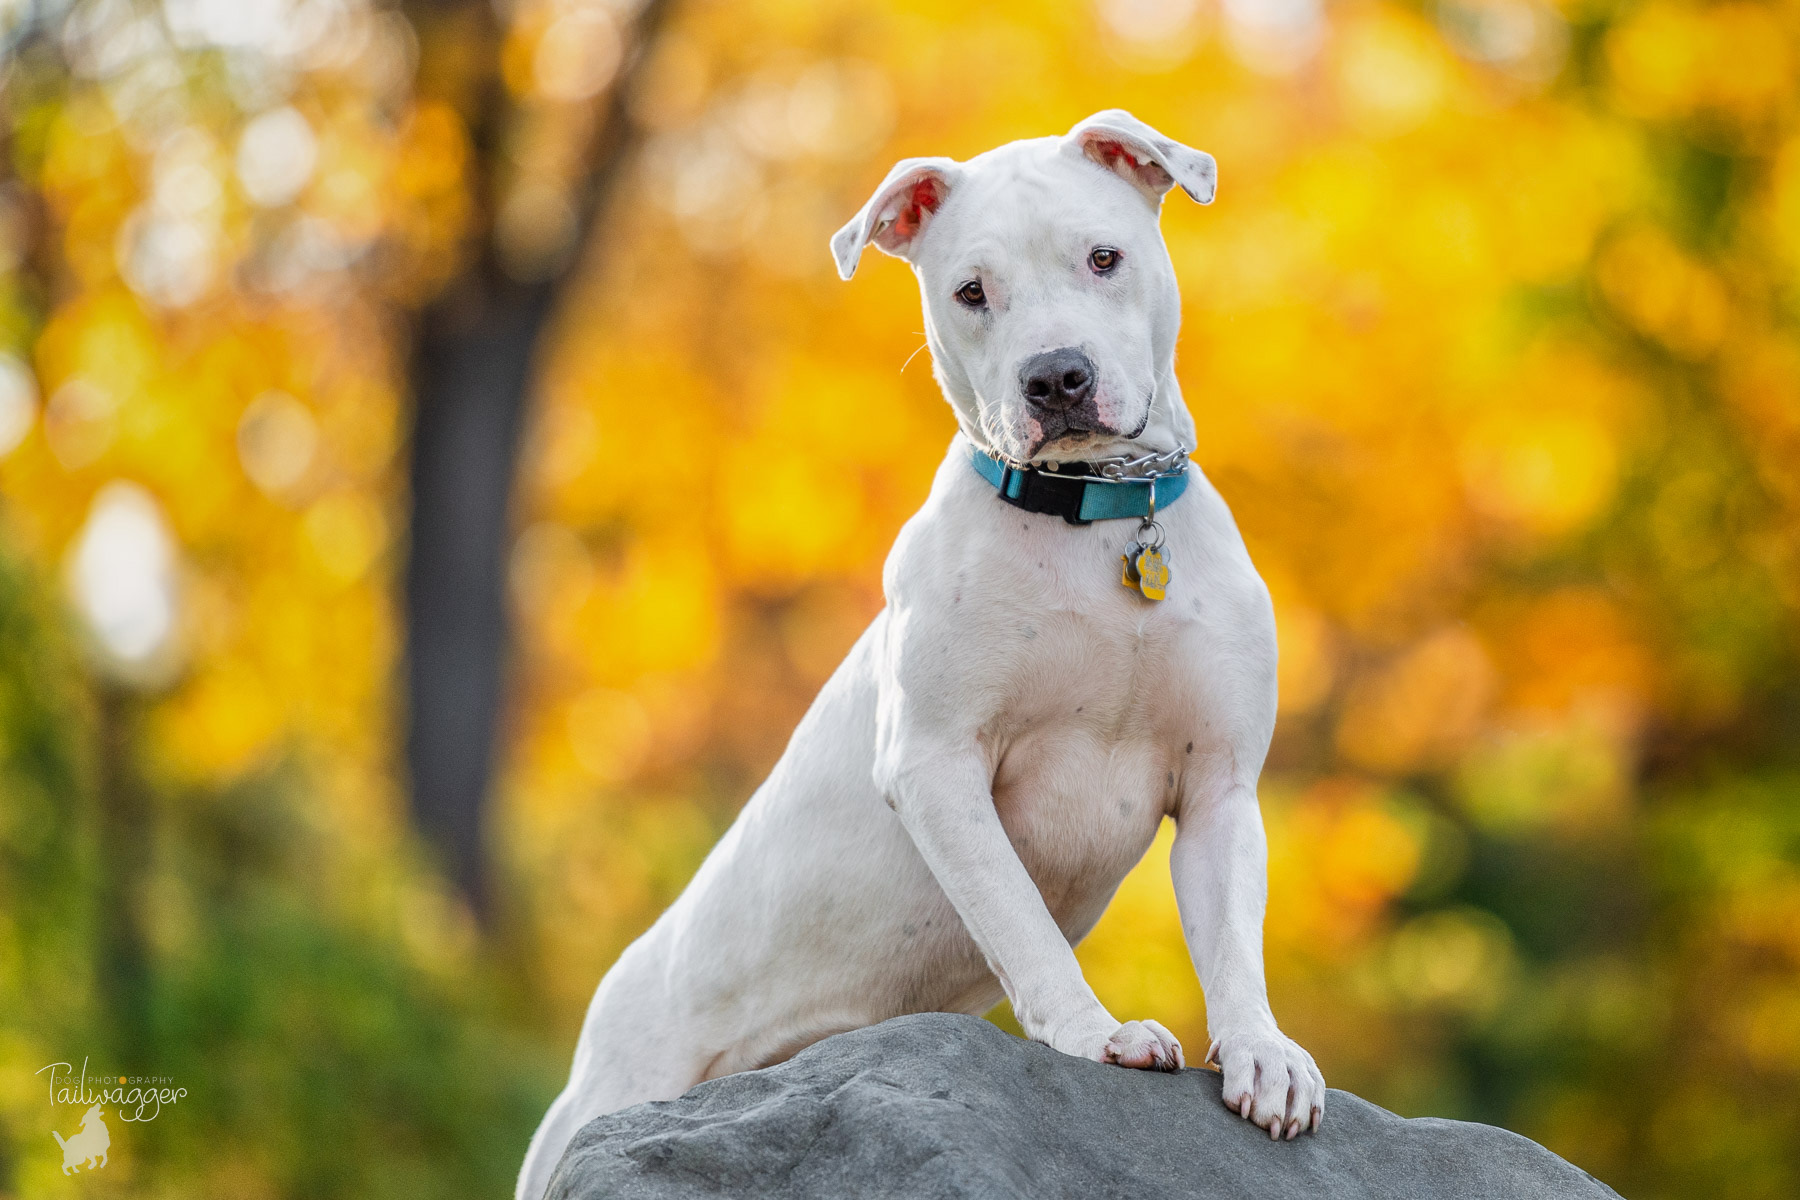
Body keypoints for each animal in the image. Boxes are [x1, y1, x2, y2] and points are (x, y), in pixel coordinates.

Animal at [514, 112, 1332, 1200]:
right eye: (971, 292)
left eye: (1103, 258)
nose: (1056, 377)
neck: (1094, 523)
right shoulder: (938, 764)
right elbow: (1021, 921)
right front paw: (1094, 1034)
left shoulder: (1220, 791)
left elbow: (1234, 943)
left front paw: (1262, 1054)